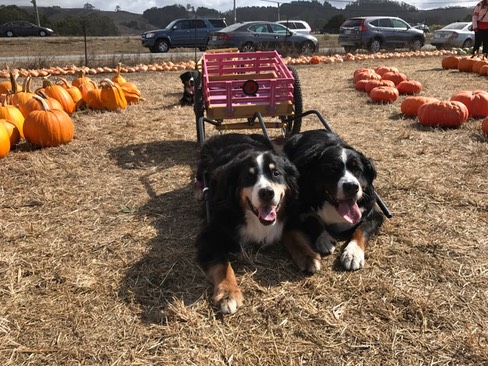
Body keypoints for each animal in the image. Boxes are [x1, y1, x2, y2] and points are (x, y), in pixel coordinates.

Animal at [196, 133, 300, 314]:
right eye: (249, 177)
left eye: (276, 173)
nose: (266, 192)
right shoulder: (209, 235)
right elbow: (223, 264)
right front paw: (228, 293)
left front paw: (307, 256)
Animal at [282, 130, 386, 274]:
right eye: (332, 170)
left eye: (357, 170)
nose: (352, 186)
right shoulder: (300, 210)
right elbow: (312, 220)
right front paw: (324, 239)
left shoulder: (374, 214)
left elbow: (362, 229)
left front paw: (353, 253)